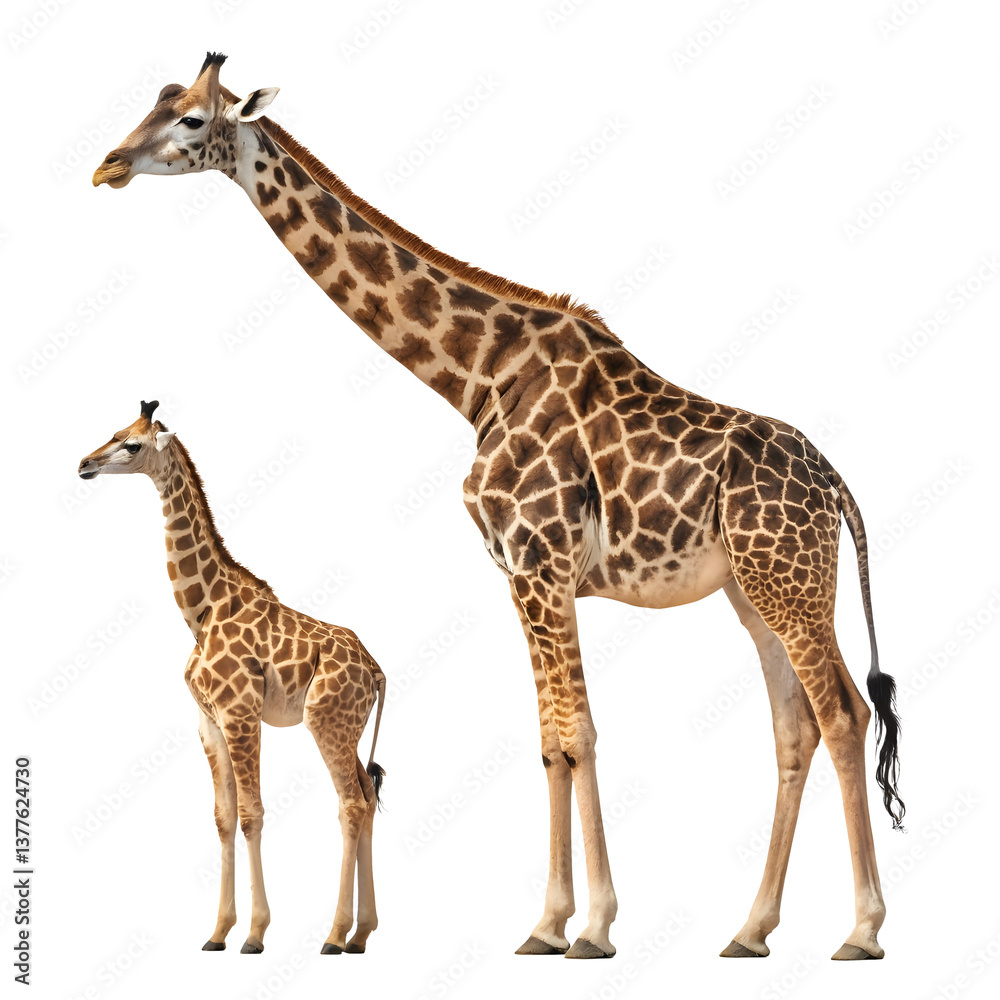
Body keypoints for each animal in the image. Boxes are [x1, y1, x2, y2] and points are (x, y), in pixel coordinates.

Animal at [77, 400, 387, 956]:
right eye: (113, 431)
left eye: (131, 444)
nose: (83, 464)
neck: (200, 613)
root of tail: (375, 669)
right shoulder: (209, 721)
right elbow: (223, 819)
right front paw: (218, 931)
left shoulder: (241, 713)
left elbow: (251, 814)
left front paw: (256, 934)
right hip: (346, 727)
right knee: (368, 799)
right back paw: (361, 934)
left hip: (326, 722)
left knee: (350, 803)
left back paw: (334, 936)